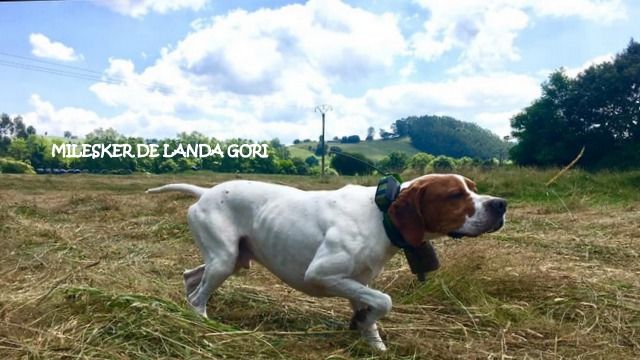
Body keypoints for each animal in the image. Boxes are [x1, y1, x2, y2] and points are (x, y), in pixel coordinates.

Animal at [148, 173, 508, 350]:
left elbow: (372, 313)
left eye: (473, 188)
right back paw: (202, 324)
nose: (501, 204)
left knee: (190, 277)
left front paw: (372, 341)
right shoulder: (322, 275)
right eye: (455, 195)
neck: (380, 216)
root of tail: (205, 192)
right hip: (224, 260)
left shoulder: (358, 282)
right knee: (199, 297)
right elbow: (385, 300)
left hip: (233, 260)